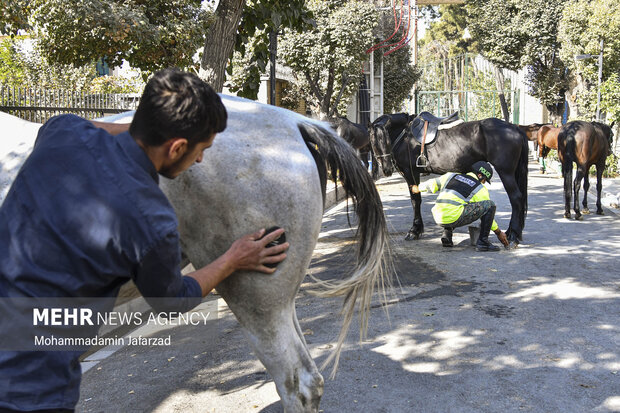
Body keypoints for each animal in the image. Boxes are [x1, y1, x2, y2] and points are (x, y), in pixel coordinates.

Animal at [370, 111, 532, 246]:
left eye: (385, 139)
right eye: (373, 140)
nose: (386, 169)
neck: (405, 136)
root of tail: (515, 128)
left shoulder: (410, 172)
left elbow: (416, 200)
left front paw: (414, 230)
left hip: (506, 173)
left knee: (516, 198)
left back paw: (513, 235)